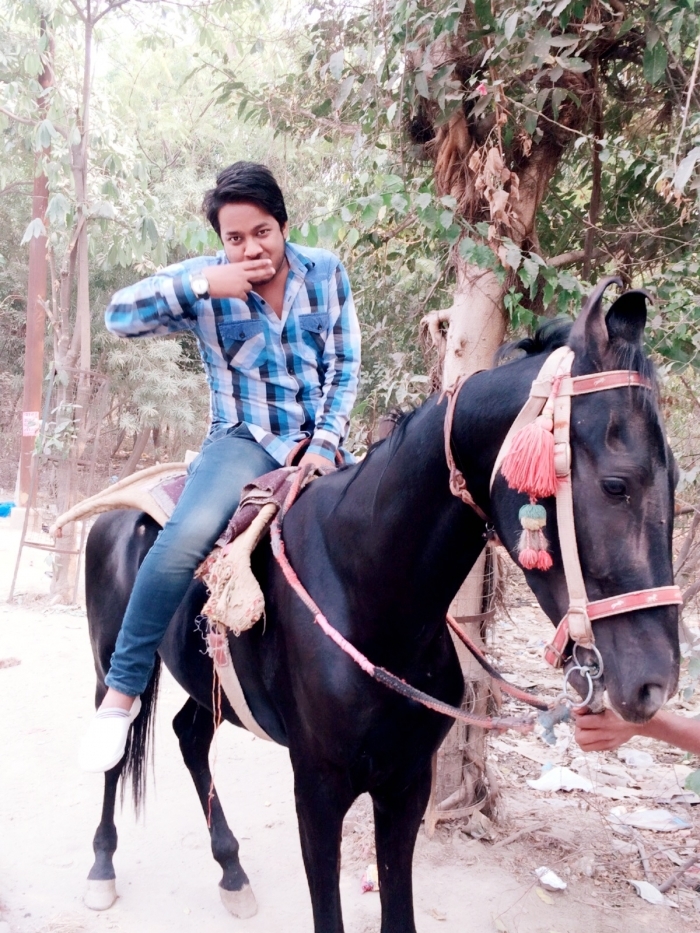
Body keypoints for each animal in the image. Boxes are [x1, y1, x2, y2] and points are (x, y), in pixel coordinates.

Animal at [83, 279, 680, 933]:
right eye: (615, 485)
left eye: (675, 479)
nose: (655, 684)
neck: (367, 593)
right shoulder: (318, 789)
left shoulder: (407, 783)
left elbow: (399, 908)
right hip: (110, 659)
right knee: (115, 743)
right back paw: (102, 867)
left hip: (206, 683)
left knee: (189, 736)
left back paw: (232, 872)